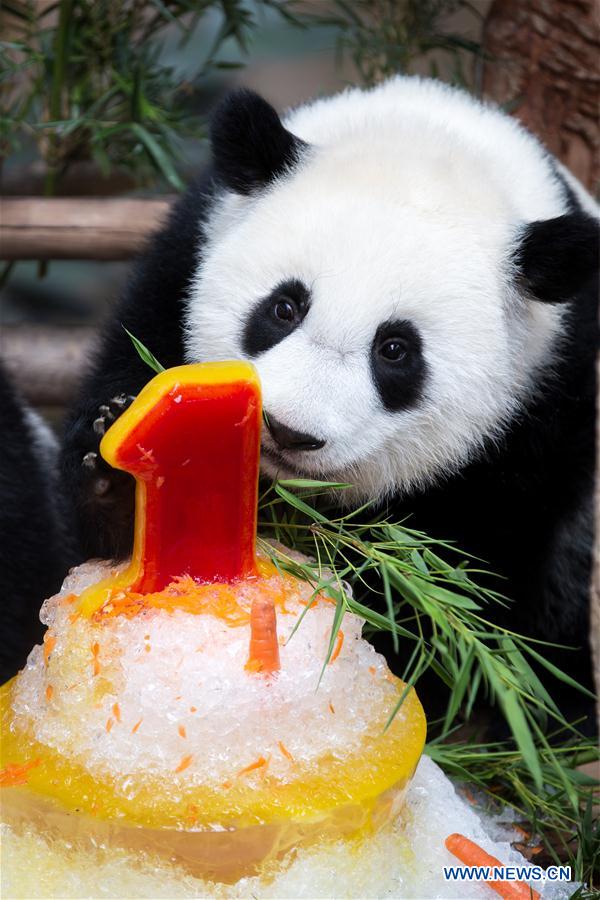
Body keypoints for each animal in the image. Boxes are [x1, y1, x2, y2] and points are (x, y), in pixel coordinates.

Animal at [62, 79, 600, 724]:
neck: (432, 136)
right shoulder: (178, 267)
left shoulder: (546, 407)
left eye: (395, 350)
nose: (288, 431)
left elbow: (468, 595)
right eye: (284, 307)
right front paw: (119, 476)